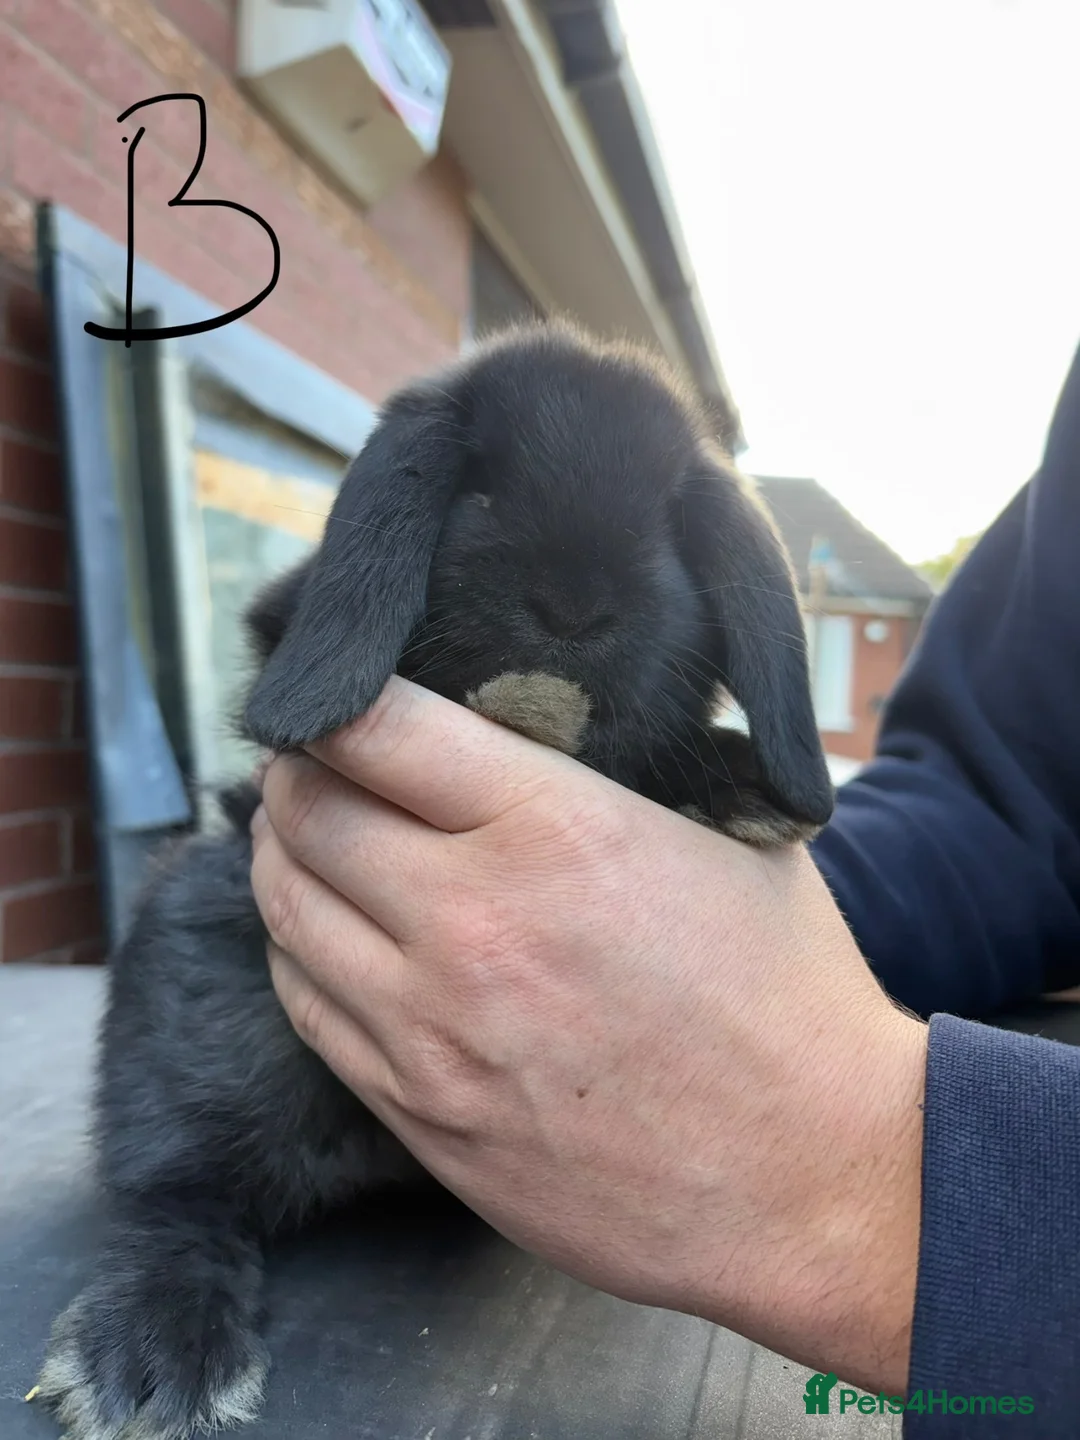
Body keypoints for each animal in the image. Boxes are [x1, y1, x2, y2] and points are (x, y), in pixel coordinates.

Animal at [34, 321, 834, 1440]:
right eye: (482, 488)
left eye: (671, 524)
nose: (574, 603)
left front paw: (748, 788)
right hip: (197, 1001)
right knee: (176, 1197)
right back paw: (154, 1357)